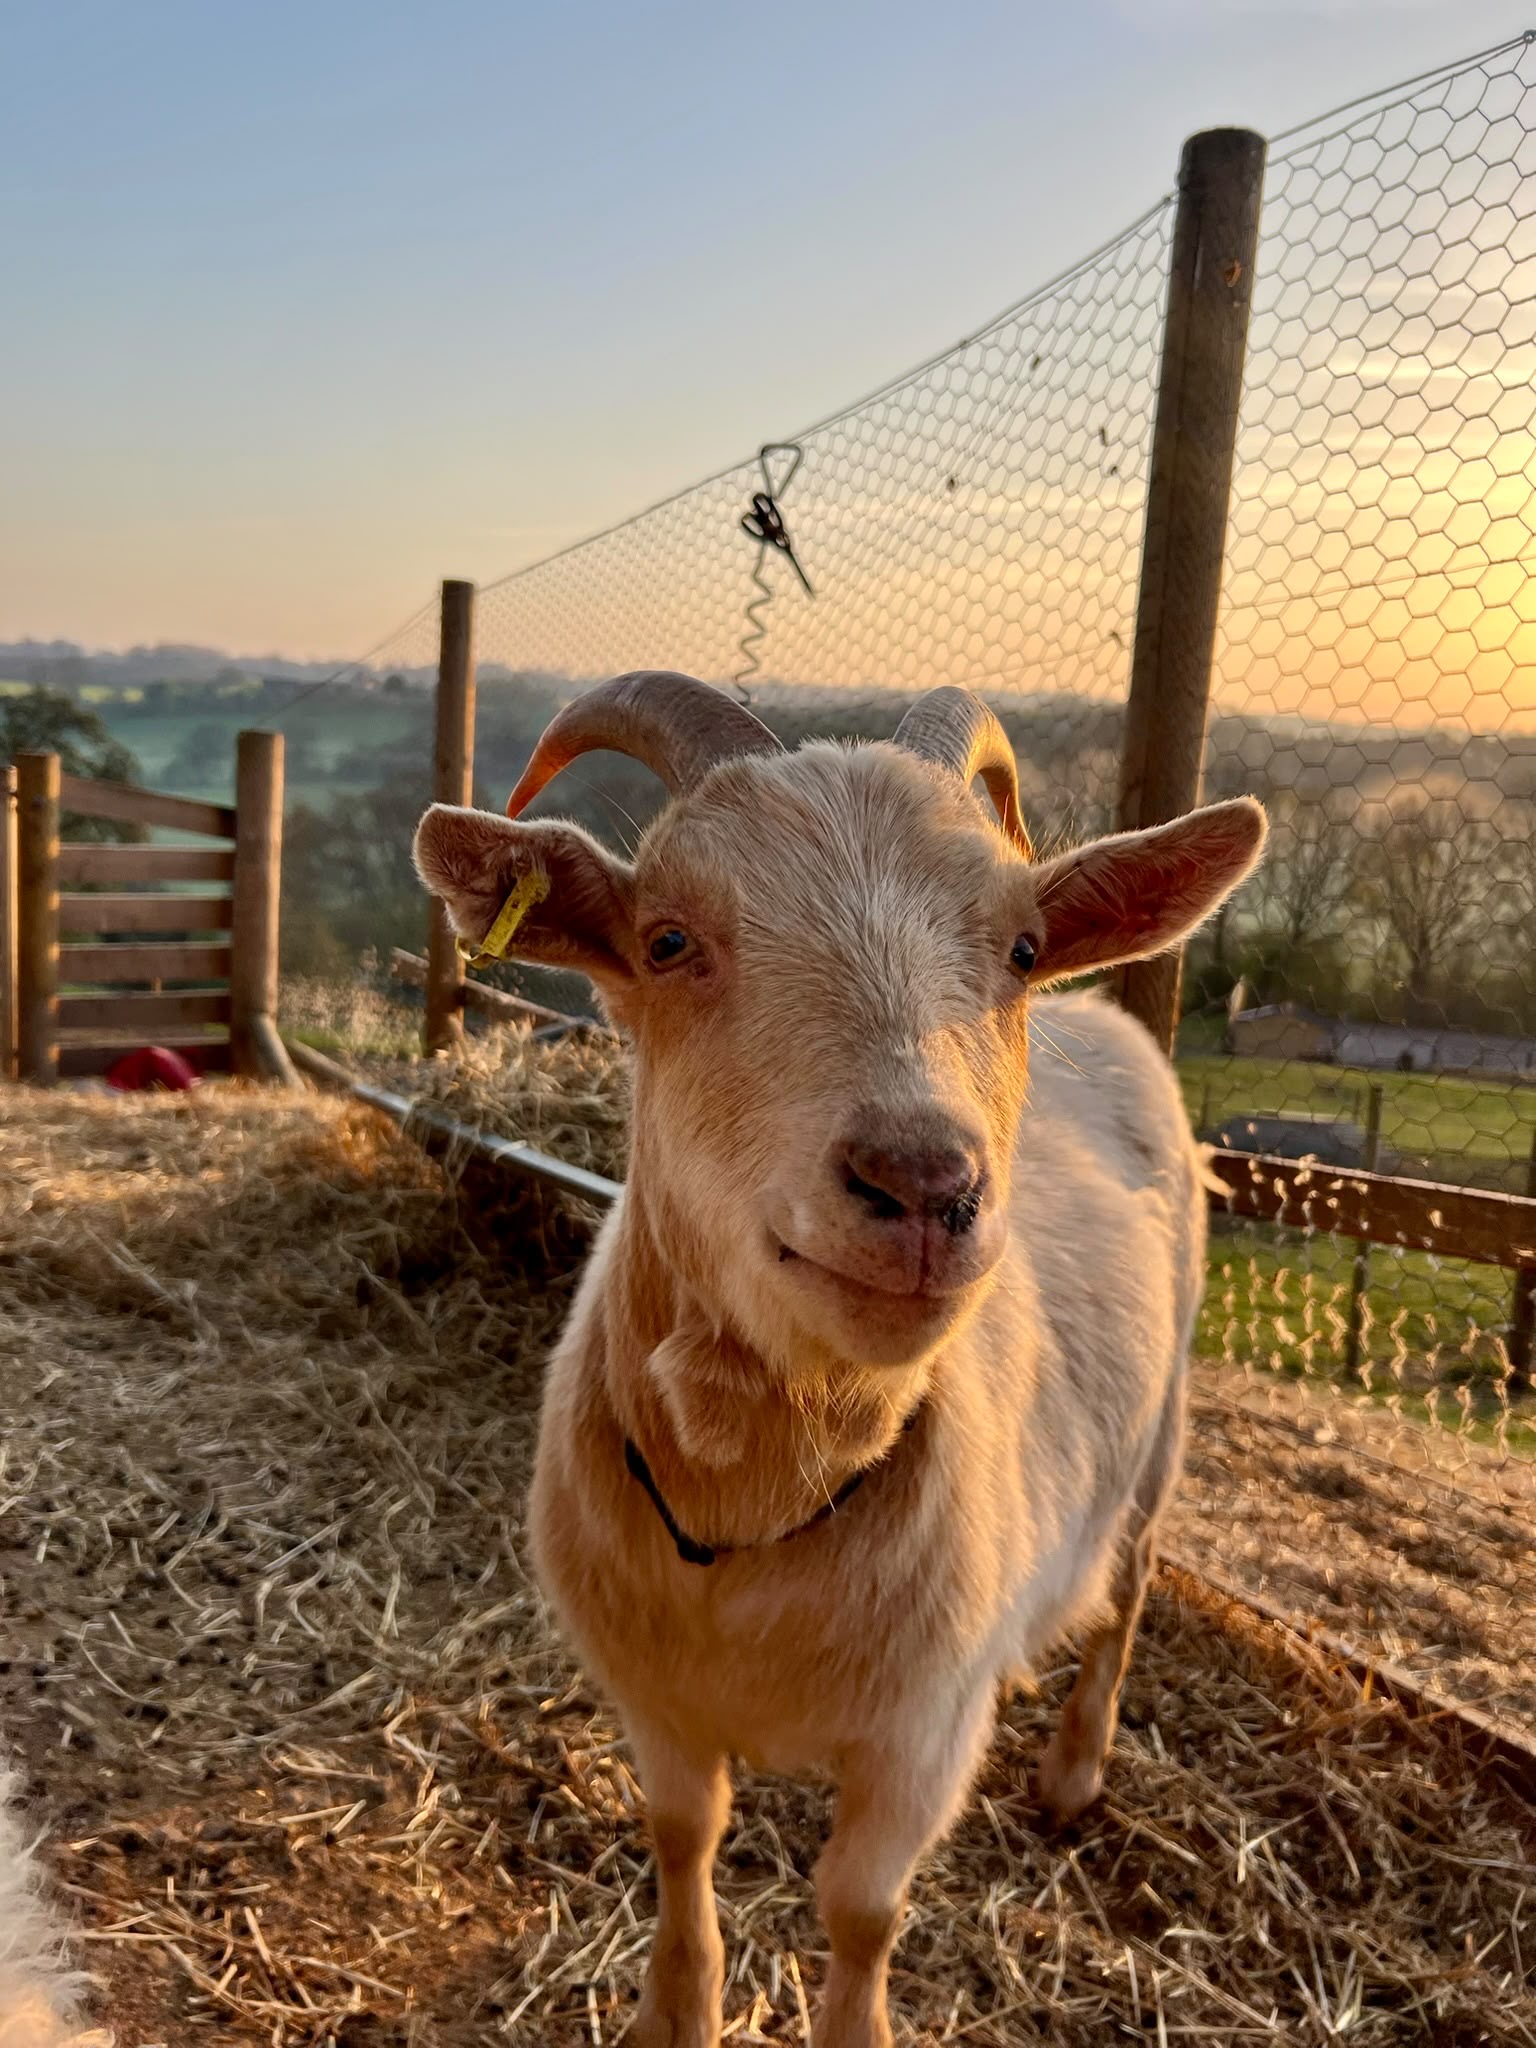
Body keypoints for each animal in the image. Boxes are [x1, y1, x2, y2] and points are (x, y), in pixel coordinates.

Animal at [415, 676, 1265, 2048]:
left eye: (1021, 946)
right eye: (666, 939)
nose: (924, 1184)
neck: (757, 1498)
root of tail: (1104, 1013)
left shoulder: (923, 1732)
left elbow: (861, 1910)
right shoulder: (654, 1695)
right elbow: (681, 1835)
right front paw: (676, 2011)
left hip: (1162, 1424)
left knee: (1129, 1586)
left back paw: (1074, 1771)